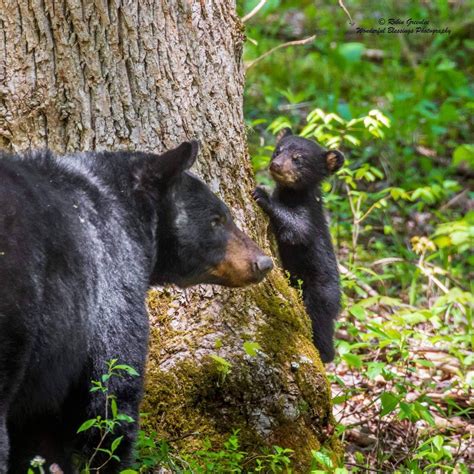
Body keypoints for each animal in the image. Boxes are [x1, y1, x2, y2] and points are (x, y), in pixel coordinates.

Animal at [0, 142, 272, 474]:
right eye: (216, 219)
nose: (264, 262)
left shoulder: (50, 365)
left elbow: (39, 429)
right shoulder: (110, 287)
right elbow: (111, 394)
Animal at [254, 130, 342, 362]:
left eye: (298, 159)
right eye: (278, 151)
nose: (276, 165)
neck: (291, 195)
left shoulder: (309, 217)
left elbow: (298, 230)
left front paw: (262, 194)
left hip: (320, 293)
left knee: (320, 323)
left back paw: (324, 354)